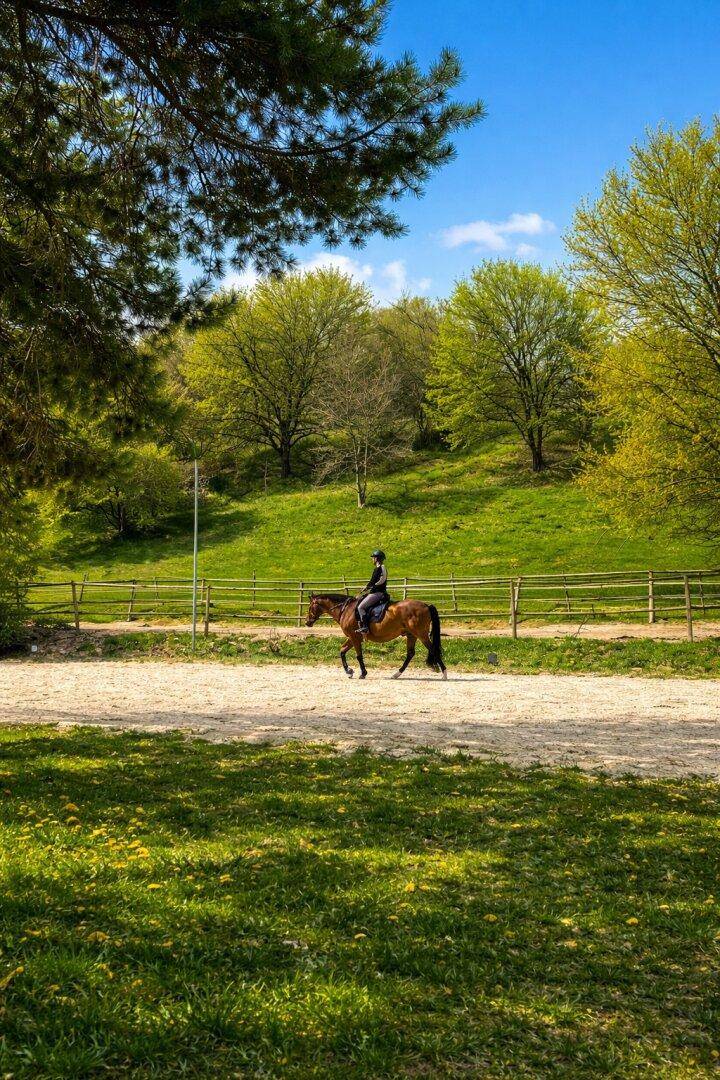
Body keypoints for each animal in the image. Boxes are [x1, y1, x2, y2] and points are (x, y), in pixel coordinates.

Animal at [305, 593, 447, 680]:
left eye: (310, 607)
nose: (307, 622)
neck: (346, 610)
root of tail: (426, 605)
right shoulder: (353, 637)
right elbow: (342, 651)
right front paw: (349, 671)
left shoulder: (354, 638)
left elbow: (359, 656)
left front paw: (363, 673)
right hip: (411, 635)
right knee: (410, 654)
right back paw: (396, 674)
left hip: (421, 634)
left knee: (433, 650)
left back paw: (444, 674)